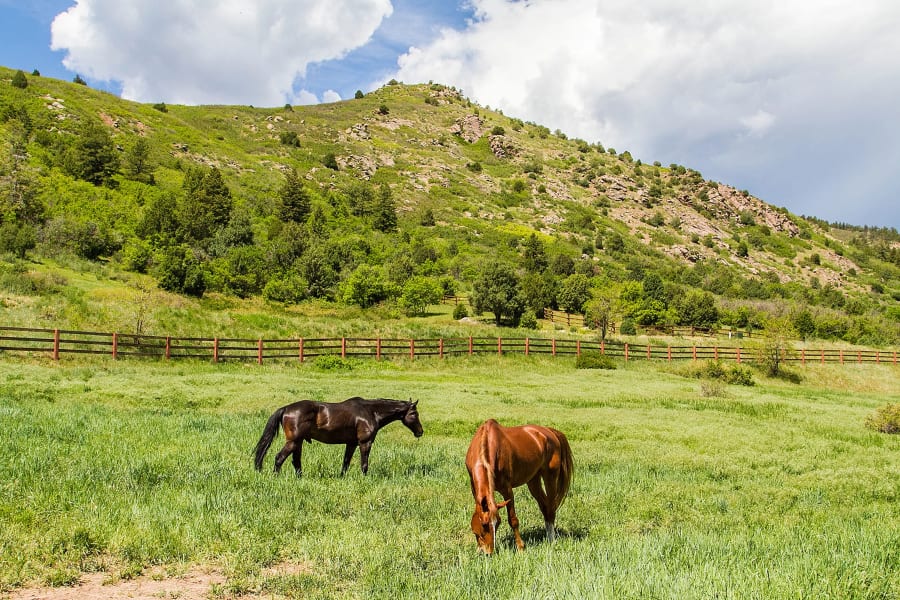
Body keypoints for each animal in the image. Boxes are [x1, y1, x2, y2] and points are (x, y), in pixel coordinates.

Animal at [251, 398, 424, 478]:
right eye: (414, 414)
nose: (420, 432)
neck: (371, 412)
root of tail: (286, 408)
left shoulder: (351, 444)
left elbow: (345, 463)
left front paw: (342, 478)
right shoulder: (365, 443)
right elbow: (364, 464)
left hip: (298, 443)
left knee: (296, 462)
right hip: (293, 442)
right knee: (279, 458)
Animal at [468, 418, 572, 552]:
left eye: (498, 523)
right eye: (484, 524)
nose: (488, 552)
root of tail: (550, 432)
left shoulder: (507, 489)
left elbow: (513, 519)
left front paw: (521, 547)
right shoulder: (474, 488)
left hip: (550, 476)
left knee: (551, 507)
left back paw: (551, 540)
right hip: (533, 480)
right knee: (544, 505)